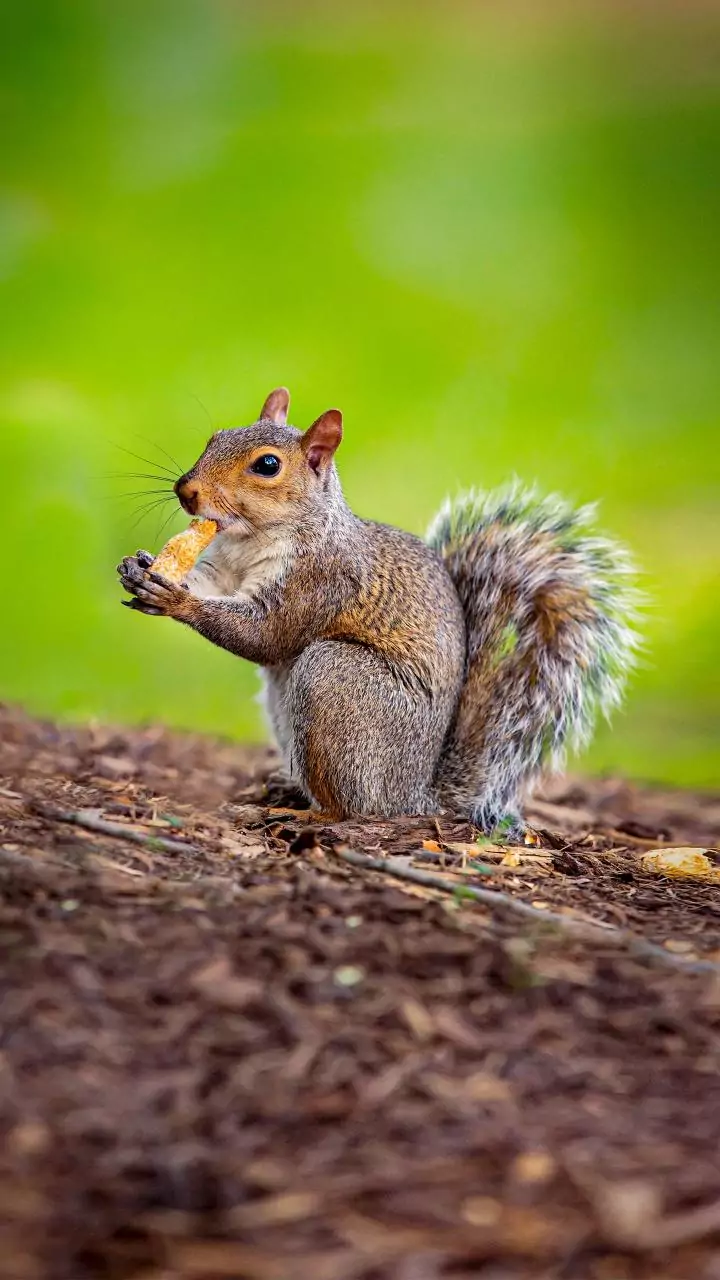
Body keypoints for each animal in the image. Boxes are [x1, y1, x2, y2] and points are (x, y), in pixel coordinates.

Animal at [118, 387, 639, 833]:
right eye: (215, 437)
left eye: (267, 465)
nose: (186, 491)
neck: (254, 537)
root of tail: (417, 794)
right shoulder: (224, 569)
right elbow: (206, 581)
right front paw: (140, 568)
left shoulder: (322, 580)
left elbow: (268, 635)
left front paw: (177, 600)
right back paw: (287, 785)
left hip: (336, 680)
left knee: (352, 807)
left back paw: (307, 813)